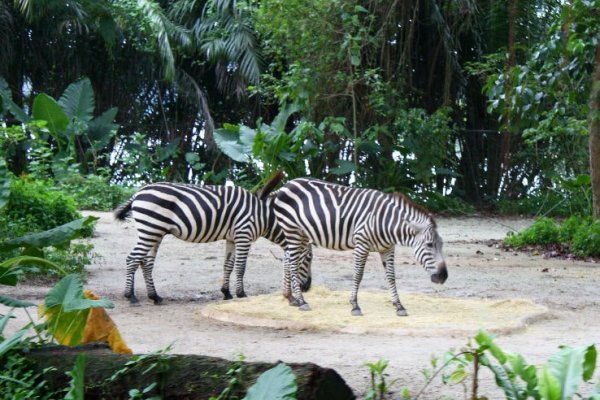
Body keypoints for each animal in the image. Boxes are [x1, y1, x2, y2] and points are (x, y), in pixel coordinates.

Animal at [113, 173, 312, 304]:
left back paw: (155, 296)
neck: (265, 216)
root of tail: (138, 193)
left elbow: (228, 265)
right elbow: (241, 267)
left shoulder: (232, 238)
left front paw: (226, 293)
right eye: (309, 259)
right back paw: (130, 296)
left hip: (155, 232)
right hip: (150, 229)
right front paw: (241, 294)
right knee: (132, 259)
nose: (307, 287)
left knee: (146, 262)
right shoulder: (244, 234)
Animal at [274, 177, 448, 318]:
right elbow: (358, 275)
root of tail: (287, 184)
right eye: (429, 245)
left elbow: (391, 277)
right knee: (293, 264)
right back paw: (302, 301)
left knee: (288, 259)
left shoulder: (388, 248)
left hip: (302, 235)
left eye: (442, 244)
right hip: (293, 231)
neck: (386, 222)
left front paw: (399, 306)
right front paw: (355, 306)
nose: (443, 277)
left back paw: (292, 298)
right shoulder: (361, 244)